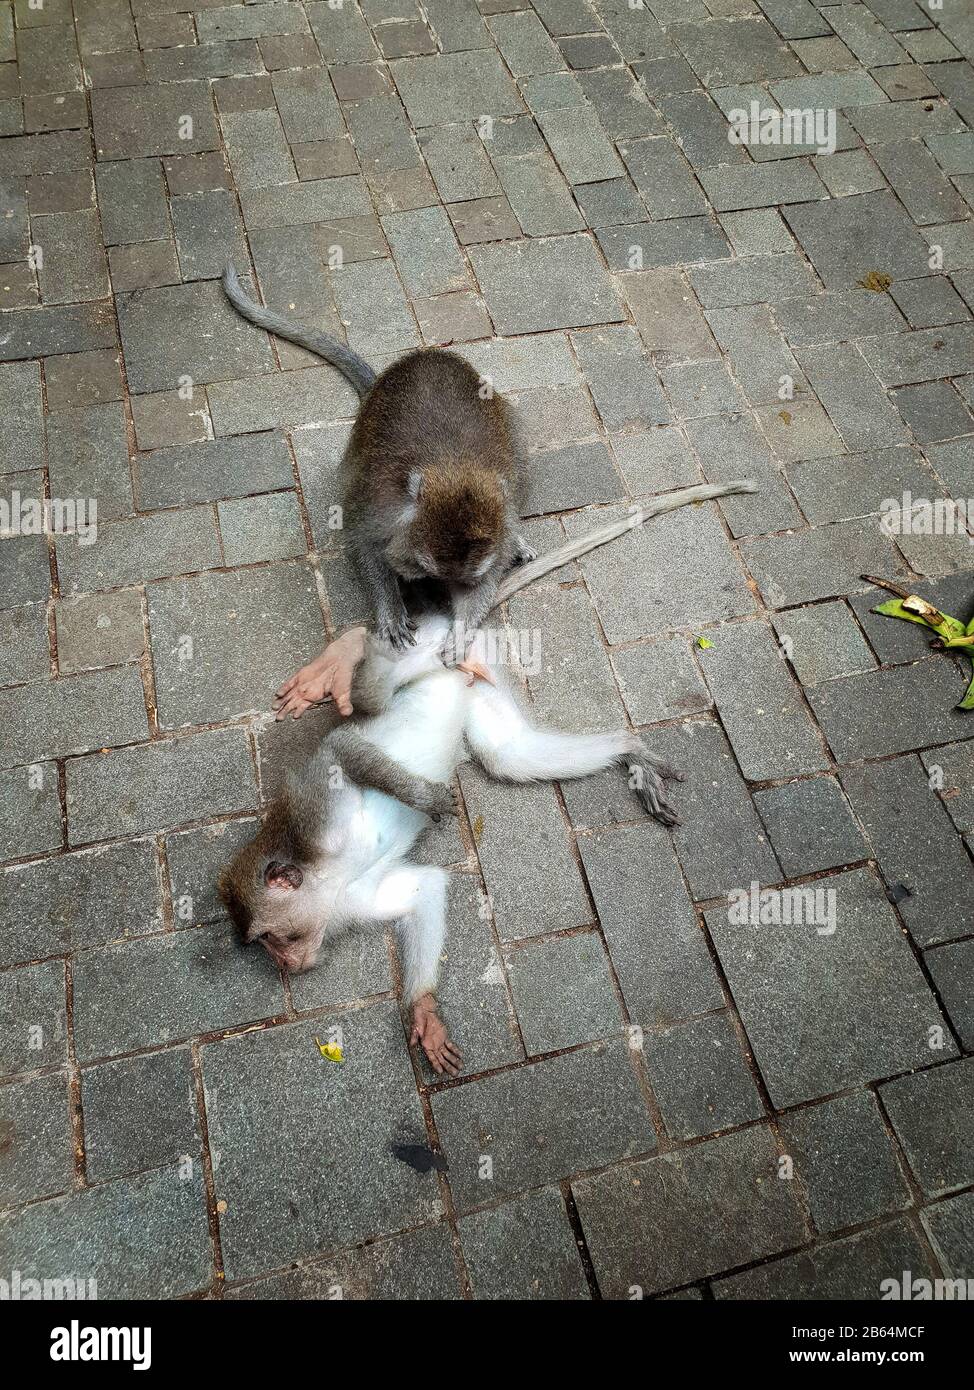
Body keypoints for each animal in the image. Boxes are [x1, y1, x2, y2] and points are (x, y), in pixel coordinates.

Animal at [222, 268, 530, 669]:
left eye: (460, 581)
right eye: (426, 570)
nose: (440, 597)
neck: (452, 469)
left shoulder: (494, 525)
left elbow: (486, 575)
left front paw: (460, 633)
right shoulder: (379, 506)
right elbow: (365, 544)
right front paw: (391, 610)